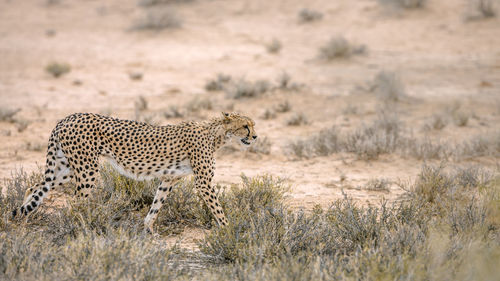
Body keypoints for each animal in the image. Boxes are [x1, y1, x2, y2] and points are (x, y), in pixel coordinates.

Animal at [12, 110, 258, 231]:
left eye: (253, 125)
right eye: (245, 126)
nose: (255, 136)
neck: (216, 134)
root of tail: (66, 118)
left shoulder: (169, 178)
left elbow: (155, 208)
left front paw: (149, 233)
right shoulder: (203, 182)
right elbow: (218, 210)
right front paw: (229, 233)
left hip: (67, 169)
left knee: (35, 186)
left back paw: (22, 221)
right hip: (87, 170)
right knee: (76, 204)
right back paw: (82, 230)